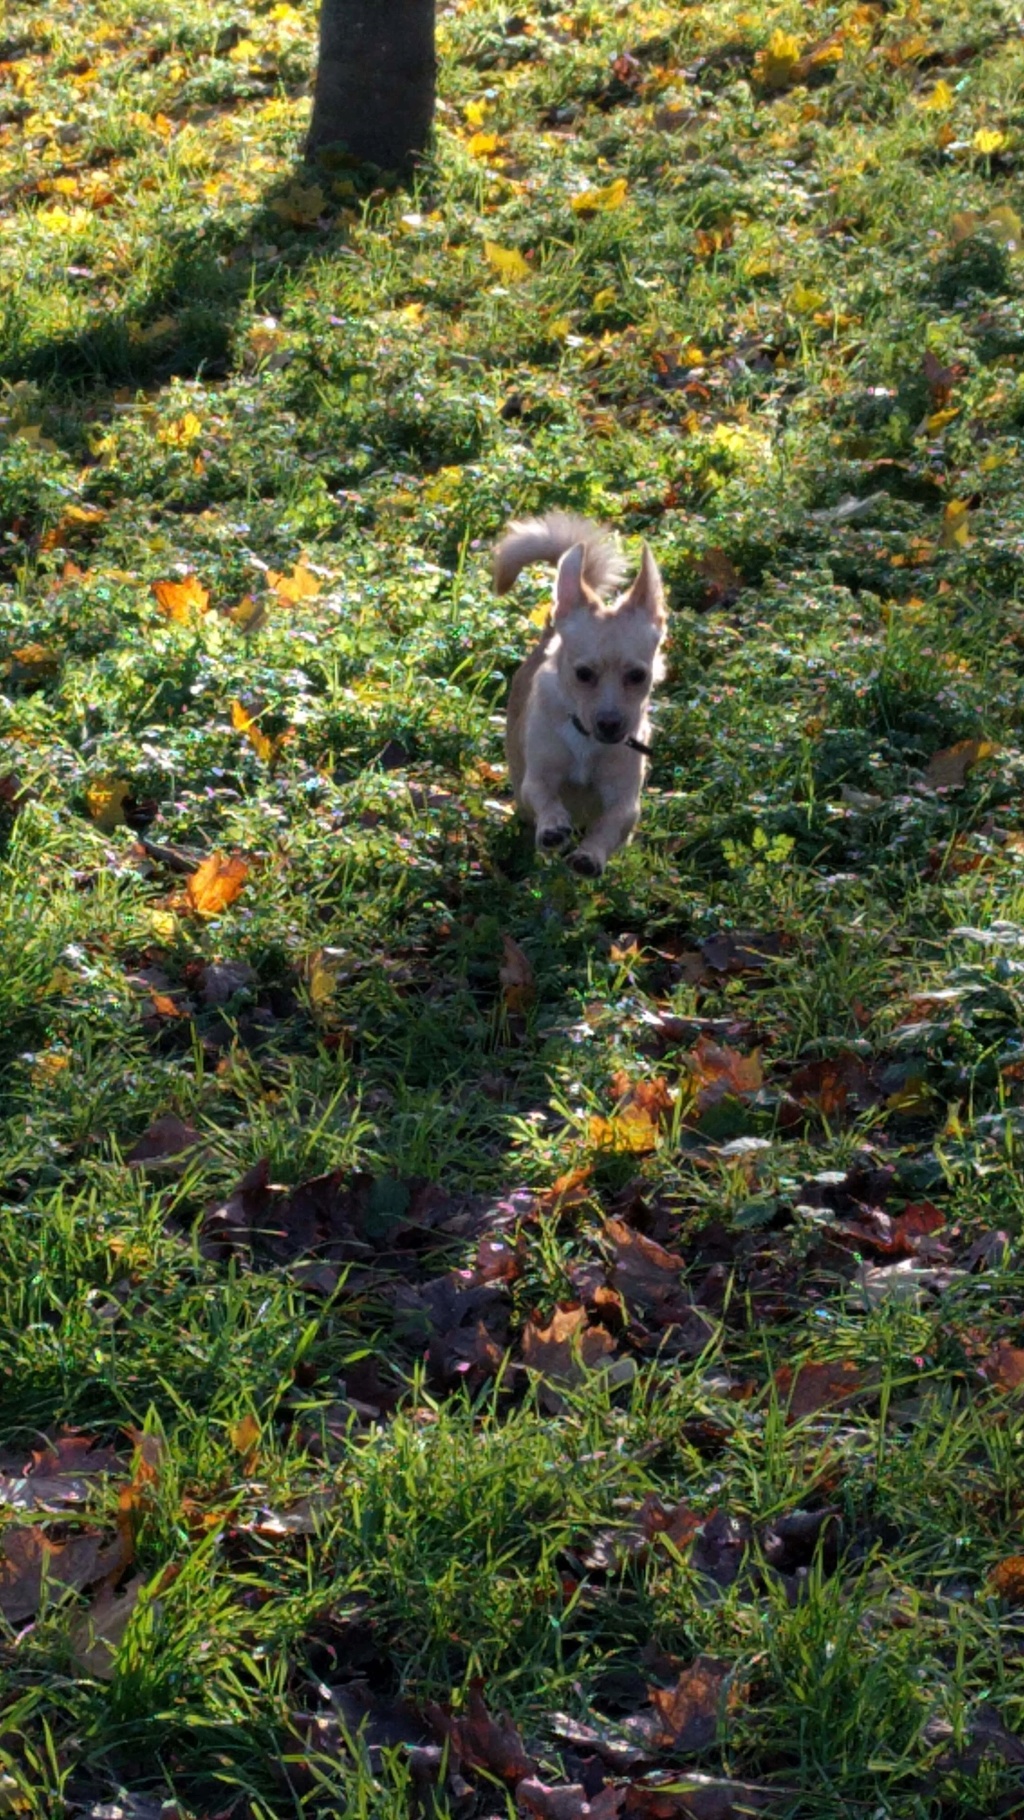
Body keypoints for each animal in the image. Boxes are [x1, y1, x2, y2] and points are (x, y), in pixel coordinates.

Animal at [494, 513, 669, 880]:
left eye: (638, 676)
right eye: (583, 675)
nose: (610, 724)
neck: (587, 741)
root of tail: (551, 627)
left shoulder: (624, 801)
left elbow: (610, 824)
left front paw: (590, 855)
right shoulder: (537, 779)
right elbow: (546, 797)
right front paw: (553, 826)